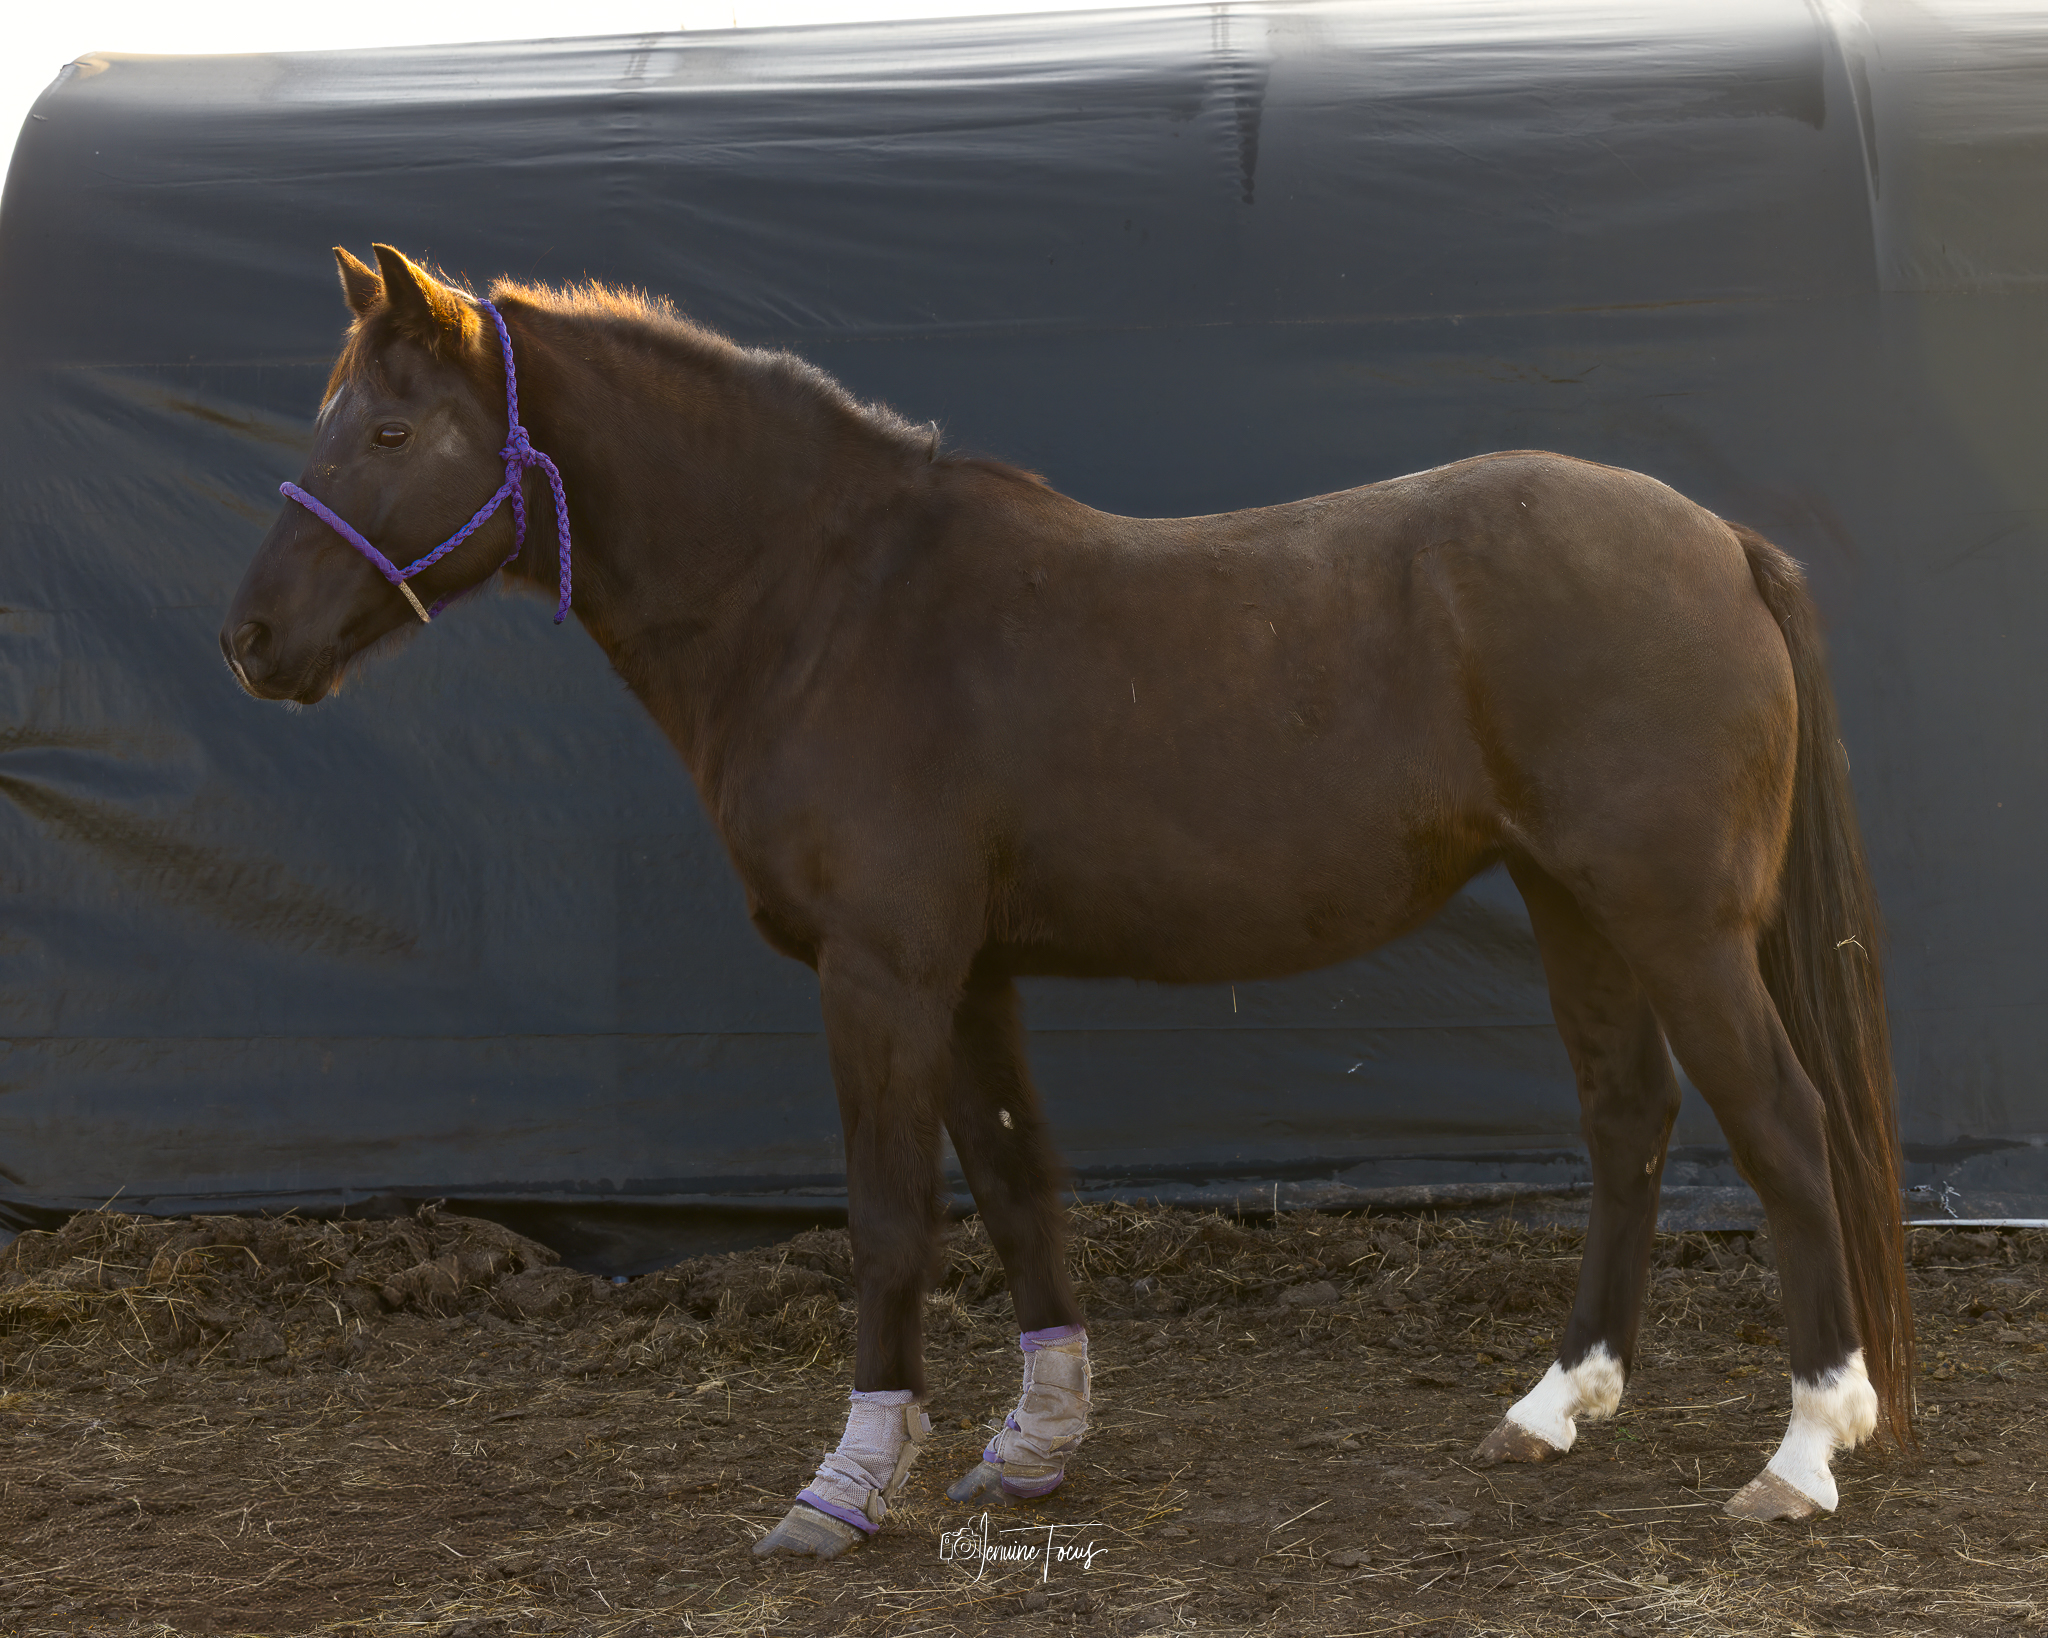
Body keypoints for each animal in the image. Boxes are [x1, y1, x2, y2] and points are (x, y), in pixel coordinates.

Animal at [221, 244, 1913, 1552]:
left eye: (389, 427)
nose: (250, 638)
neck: (828, 602)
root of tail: (1719, 539)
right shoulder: (967, 972)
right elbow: (1019, 1183)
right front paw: (1030, 1451)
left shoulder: (881, 970)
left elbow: (893, 1216)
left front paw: (843, 1489)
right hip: (1574, 903)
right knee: (1628, 1117)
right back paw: (1557, 1404)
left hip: (1676, 919)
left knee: (1783, 1123)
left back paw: (1804, 1447)